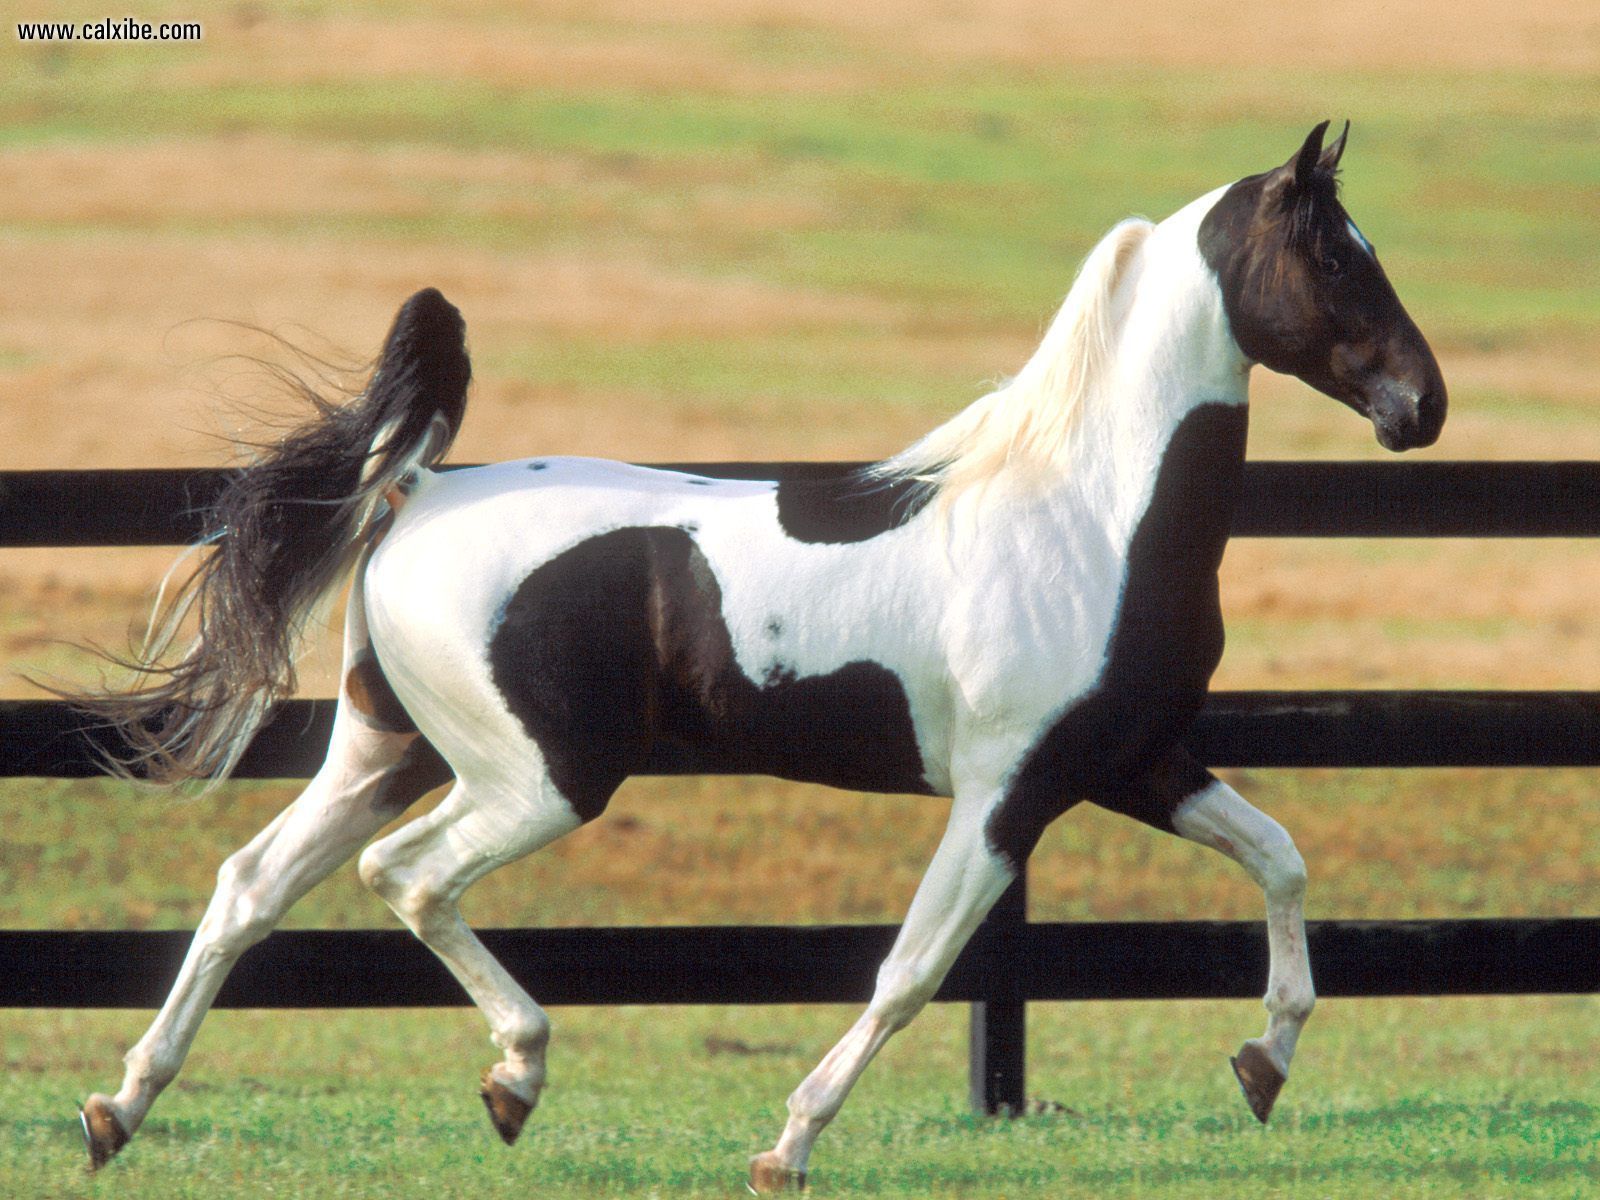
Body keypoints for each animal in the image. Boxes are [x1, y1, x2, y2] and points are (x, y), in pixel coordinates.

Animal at [74, 121, 1445, 1191]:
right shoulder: (1010, 793)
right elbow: (911, 970)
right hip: (538, 779)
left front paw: (1262, 1065)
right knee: (403, 879)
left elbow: (1280, 860)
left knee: (251, 884)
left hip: (386, 749)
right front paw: (785, 1147)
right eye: (1334, 254)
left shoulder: (1133, 763)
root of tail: (416, 490)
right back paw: (513, 1078)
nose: (1420, 407)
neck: (1089, 516)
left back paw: (116, 1110)